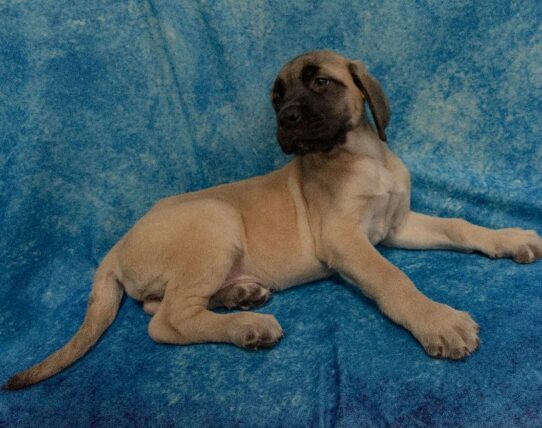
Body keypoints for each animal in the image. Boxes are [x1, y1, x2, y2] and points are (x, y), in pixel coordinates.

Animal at [5, 51, 542, 392]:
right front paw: (438, 320)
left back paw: (239, 295)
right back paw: (247, 325)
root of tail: (115, 247)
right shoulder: (345, 241)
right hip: (215, 219)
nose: (285, 119)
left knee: (158, 305)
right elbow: (393, 279)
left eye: (321, 81)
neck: (360, 155)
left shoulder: (395, 226)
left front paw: (510, 237)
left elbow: (458, 225)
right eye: (276, 97)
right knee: (167, 321)